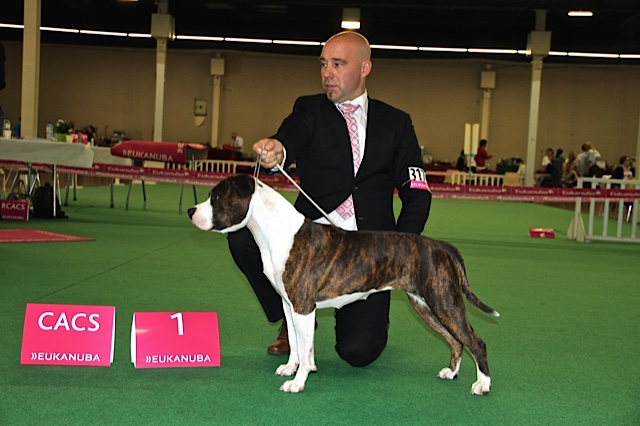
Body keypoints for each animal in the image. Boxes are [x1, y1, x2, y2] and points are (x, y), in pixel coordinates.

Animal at [188, 174, 499, 395]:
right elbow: (297, 345)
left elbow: (305, 348)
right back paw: (451, 372)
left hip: (444, 301)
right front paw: (291, 368)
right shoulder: (289, 306)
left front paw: (297, 383)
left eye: (216, 196)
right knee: (456, 340)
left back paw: (482, 385)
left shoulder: (303, 306)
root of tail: (441, 246)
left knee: (476, 341)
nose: (191, 210)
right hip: (426, 304)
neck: (276, 232)